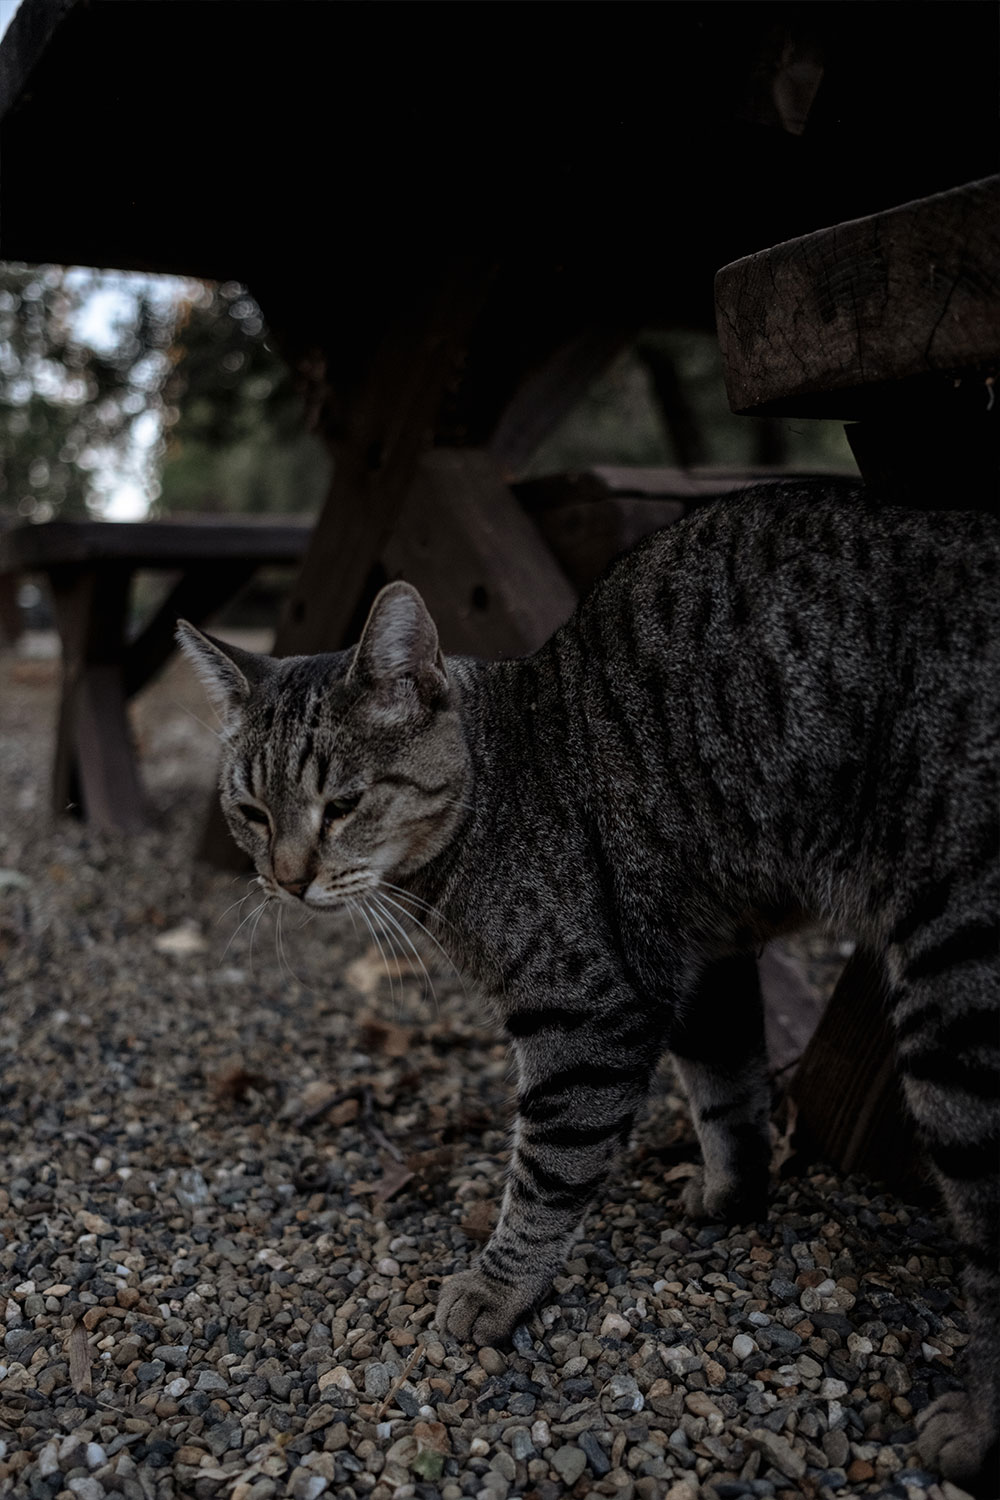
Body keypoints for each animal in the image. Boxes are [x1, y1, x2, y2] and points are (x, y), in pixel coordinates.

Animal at [176, 483, 995, 1488]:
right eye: (251, 811)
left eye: (343, 805)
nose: (286, 880)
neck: (493, 789)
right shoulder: (701, 956)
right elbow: (729, 1093)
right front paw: (731, 1197)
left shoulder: (585, 1011)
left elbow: (550, 1165)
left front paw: (496, 1289)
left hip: (959, 986)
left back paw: (978, 1426)